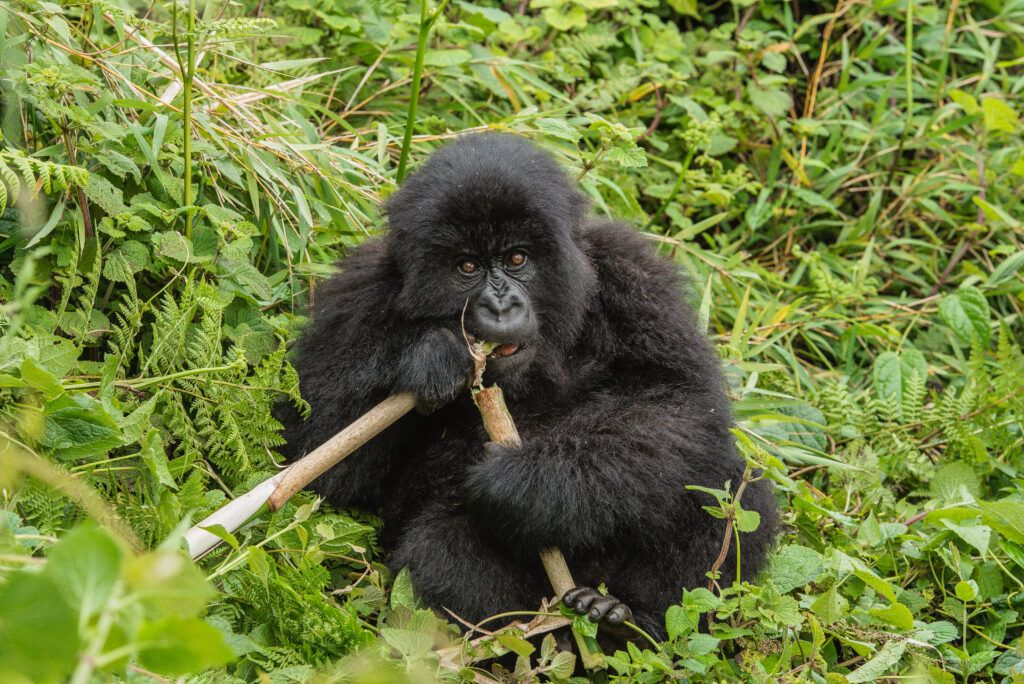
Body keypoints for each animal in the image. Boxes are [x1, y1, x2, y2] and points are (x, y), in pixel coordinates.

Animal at [276, 132, 778, 634]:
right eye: (467, 267)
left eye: (517, 258)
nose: (500, 307)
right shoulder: (358, 297)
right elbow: (321, 461)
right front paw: (428, 357)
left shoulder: (634, 273)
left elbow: (680, 402)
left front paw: (526, 484)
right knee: (442, 551)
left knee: (722, 484)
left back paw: (625, 617)